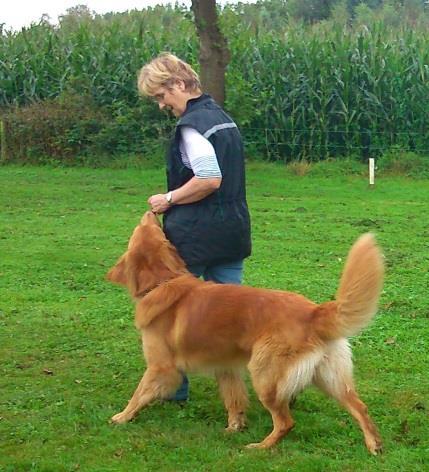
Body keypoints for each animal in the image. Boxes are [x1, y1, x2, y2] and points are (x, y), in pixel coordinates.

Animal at [107, 211, 384, 454]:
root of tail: (313, 312)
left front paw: (122, 417)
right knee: (360, 407)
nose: (152, 211)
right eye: (155, 231)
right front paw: (233, 427)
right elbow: (234, 399)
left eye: (143, 229)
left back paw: (261, 447)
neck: (162, 281)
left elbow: (139, 393)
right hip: (330, 378)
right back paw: (374, 445)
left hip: (264, 375)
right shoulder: (226, 366)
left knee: (285, 422)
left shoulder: (160, 366)